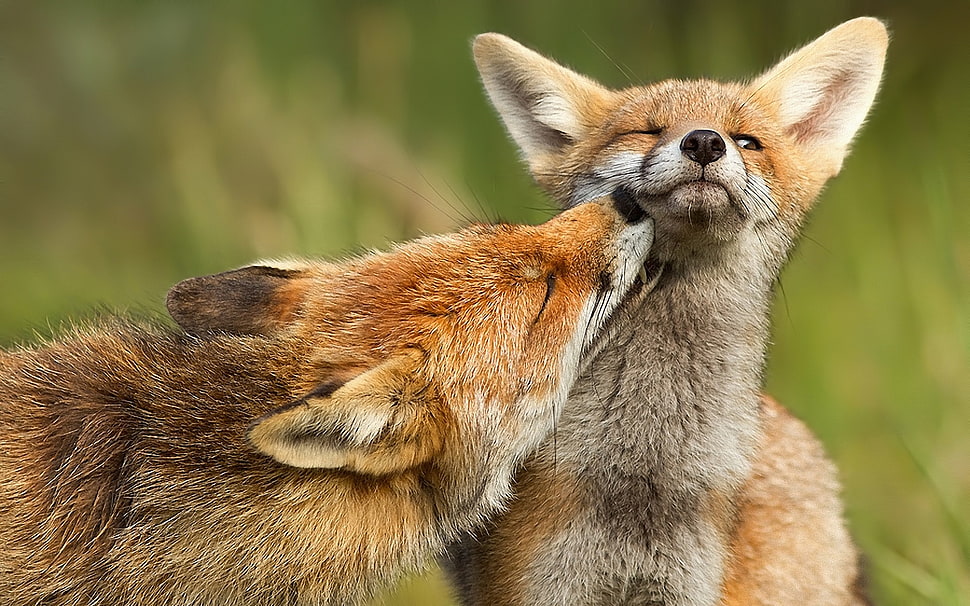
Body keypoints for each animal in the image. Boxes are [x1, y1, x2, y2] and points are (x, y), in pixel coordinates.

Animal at [445, 17, 888, 606]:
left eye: (747, 141)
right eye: (648, 132)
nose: (704, 141)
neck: (644, 472)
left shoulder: (685, 586)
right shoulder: (534, 584)